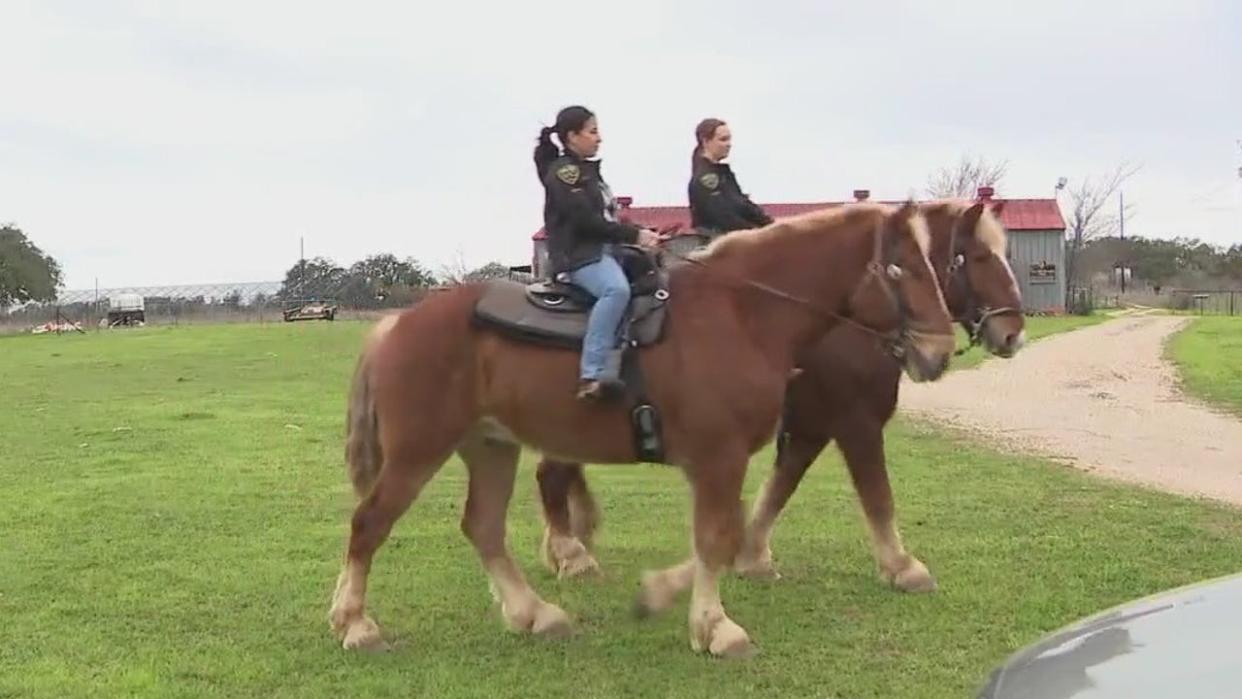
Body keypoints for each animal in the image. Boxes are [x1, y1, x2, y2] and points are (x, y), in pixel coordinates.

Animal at [325, 201, 953, 655]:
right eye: (900, 268)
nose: (940, 350)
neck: (741, 316)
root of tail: (397, 323)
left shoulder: (721, 461)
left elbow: (719, 538)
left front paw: (663, 598)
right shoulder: (721, 457)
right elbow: (718, 539)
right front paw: (716, 628)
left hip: (490, 447)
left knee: (483, 528)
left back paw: (536, 614)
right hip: (418, 452)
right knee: (370, 524)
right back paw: (357, 625)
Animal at [529, 198, 1023, 595]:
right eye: (979, 256)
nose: (1013, 333)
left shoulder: (810, 428)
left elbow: (781, 486)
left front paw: (753, 557)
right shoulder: (856, 423)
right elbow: (877, 496)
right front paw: (903, 567)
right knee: (551, 474)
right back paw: (571, 553)